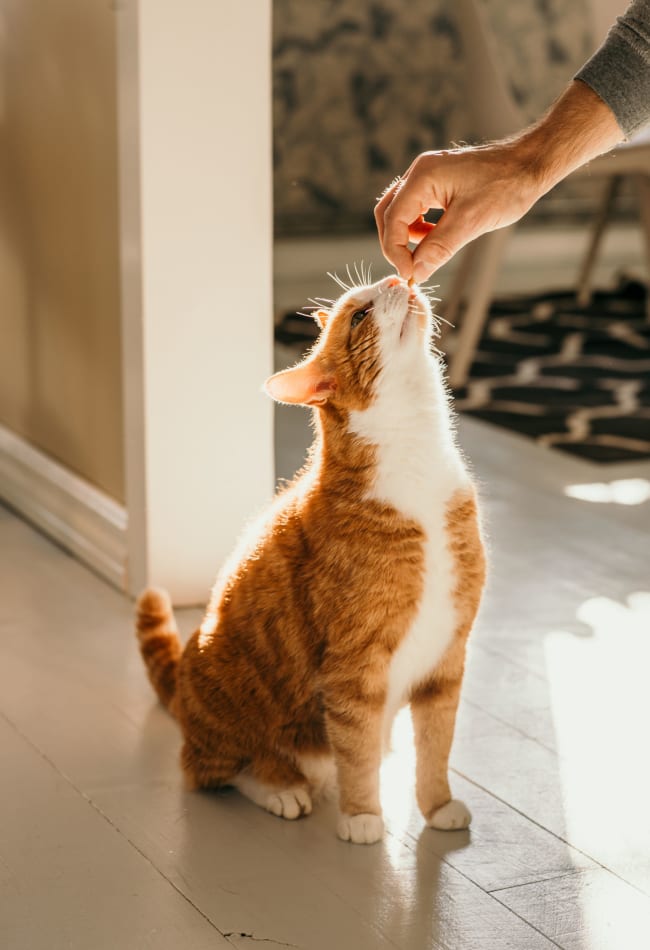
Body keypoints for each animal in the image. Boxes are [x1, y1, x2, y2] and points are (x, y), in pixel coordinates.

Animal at [135, 276, 480, 848]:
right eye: (359, 316)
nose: (395, 279)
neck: (416, 459)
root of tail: (183, 689)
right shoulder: (354, 668)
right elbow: (356, 750)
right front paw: (362, 815)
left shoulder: (446, 658)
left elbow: (436, 748)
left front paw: (437, 807)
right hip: (228, 715)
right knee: (214, 769)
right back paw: (282, 788)